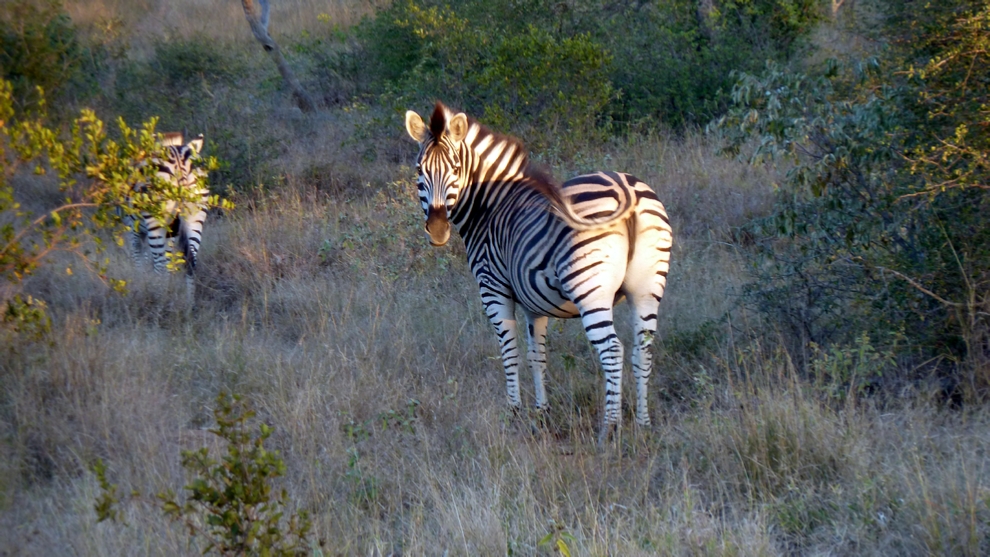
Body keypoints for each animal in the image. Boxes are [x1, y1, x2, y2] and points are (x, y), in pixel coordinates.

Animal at [123, 132, 210, 284]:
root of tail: (179, 162)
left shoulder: (133, 230)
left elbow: (139, 259)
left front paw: (141, 279)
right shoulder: (171, 231)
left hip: (155, 220)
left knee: (159, 264)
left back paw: (158, 290)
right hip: (195, 216)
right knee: (191, 261)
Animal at [404, 102, 676, 436]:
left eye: (455, 169)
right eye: (420, 170)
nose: (438, 230)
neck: (490, 205)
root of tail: (627, 188)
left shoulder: (493, 289)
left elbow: (510, 352)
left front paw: (514, 412)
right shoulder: (534, 301)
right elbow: (537, 356)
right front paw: (542, 412)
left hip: (590, 290)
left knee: (613, 350)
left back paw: (609, 430)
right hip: (648, 288)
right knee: (643, 350)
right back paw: (643, 424)